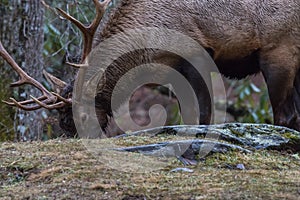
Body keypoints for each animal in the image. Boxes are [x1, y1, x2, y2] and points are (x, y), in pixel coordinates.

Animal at [0, 0, 300, 137]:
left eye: (82, 115)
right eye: (62, 122)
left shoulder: (196, 52)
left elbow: (201, 113)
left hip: (279, 51)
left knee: (286, 115)